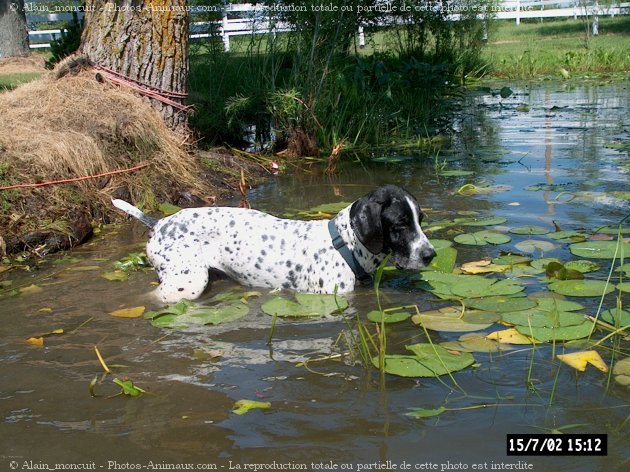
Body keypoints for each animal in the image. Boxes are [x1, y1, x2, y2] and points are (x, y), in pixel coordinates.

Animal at [113, 184, 436, 302]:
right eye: (400, 225)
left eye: (421, 220)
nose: (431, 255)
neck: (345, 246)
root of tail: (158, 223)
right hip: (186, 284)